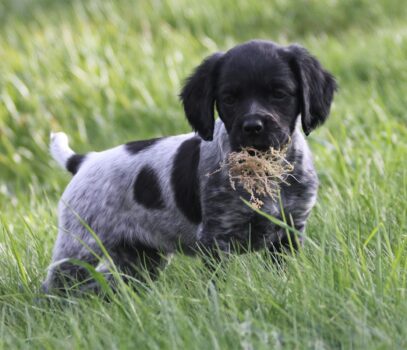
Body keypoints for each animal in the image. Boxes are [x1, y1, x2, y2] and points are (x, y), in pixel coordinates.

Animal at [43, 39, 338, 292]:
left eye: (279, 94)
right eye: (229, 98)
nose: (253, 127)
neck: (265, 171)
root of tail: (84, 160)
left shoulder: (289, 231)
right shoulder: (216, 238)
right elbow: (219, 283)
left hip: (140, 258)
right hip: (78, 248)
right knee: (54, 288)